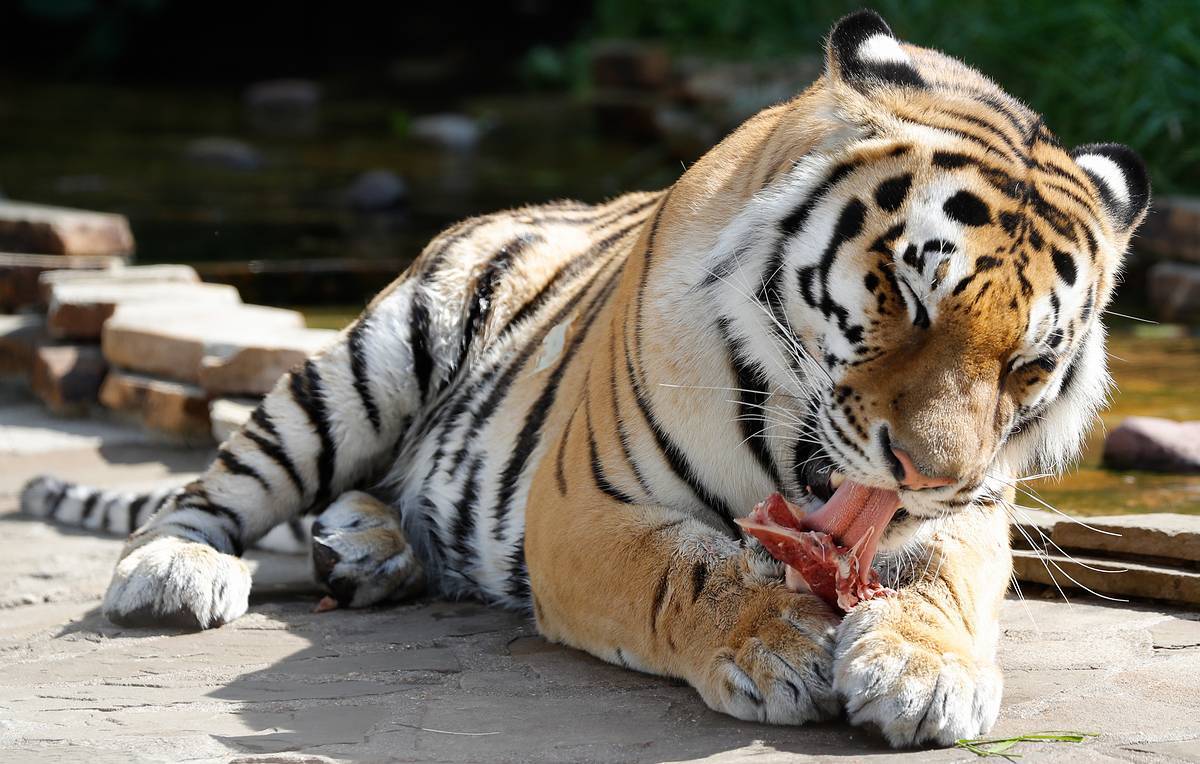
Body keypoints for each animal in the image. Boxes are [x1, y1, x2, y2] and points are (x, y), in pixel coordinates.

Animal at [18, 10, 1142, 743]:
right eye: (909, 296)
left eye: (1032, 362)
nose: (928, 473)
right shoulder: (582, 505)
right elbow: (691, 566)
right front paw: (774, 644)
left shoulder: (975, 513)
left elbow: (941, 580)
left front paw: (923, 674)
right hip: (374, 355)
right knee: (224, 483)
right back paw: (181, 572)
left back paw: (367, 548)